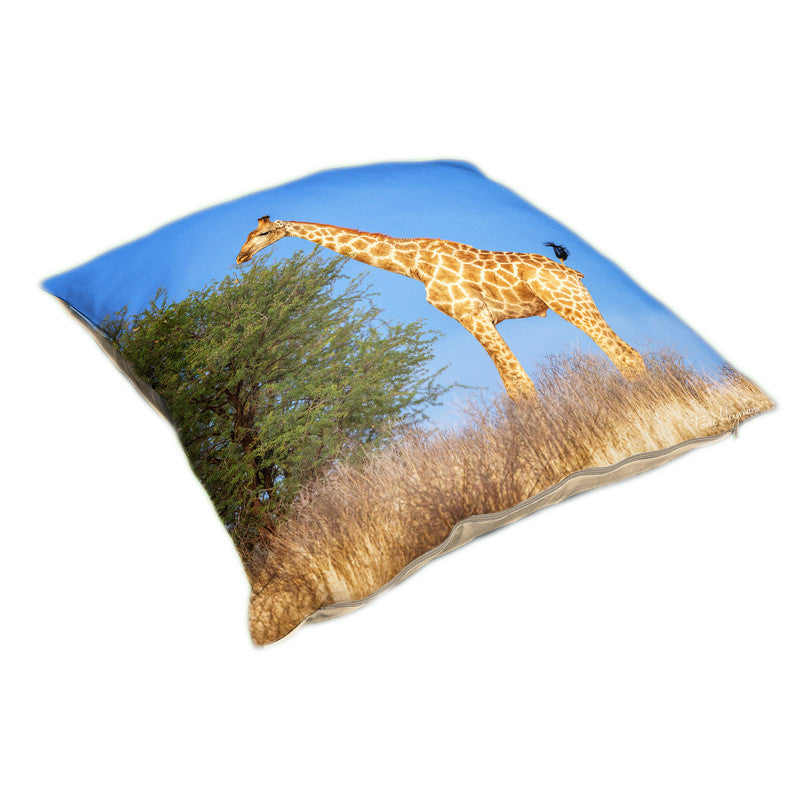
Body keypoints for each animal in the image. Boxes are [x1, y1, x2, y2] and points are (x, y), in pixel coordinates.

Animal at [236, 217, 646, 398]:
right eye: (248, 234)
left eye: (262, 233)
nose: (241, 257)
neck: (414, 264)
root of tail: (568, 268)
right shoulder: (473, 319)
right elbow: (513, 386)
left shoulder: (472, 314)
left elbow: (521, 385)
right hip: (574, 300)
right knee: (628, 354)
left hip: (566, 300)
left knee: (625, 355)